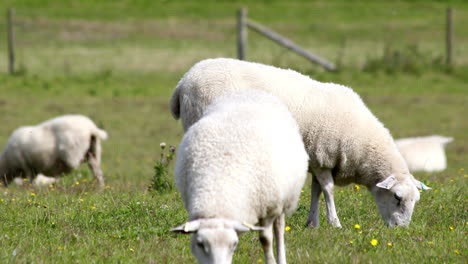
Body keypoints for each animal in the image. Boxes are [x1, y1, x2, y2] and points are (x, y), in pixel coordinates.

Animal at [170, 57, 430, 227]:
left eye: (415, 200)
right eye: (397, 198)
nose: (401, 229)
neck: (363, 144)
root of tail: (183, 81)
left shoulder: (317, 160)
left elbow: (316, 191)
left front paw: (312, 223)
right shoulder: (323, 157)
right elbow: (328, 190)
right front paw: (335, 223)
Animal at [170, 89, 308, 262]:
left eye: (234, 245)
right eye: (200, 244)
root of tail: (250, 92)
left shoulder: (269, 209)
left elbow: (266, 239)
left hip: (283, 199)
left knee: (279, 229)